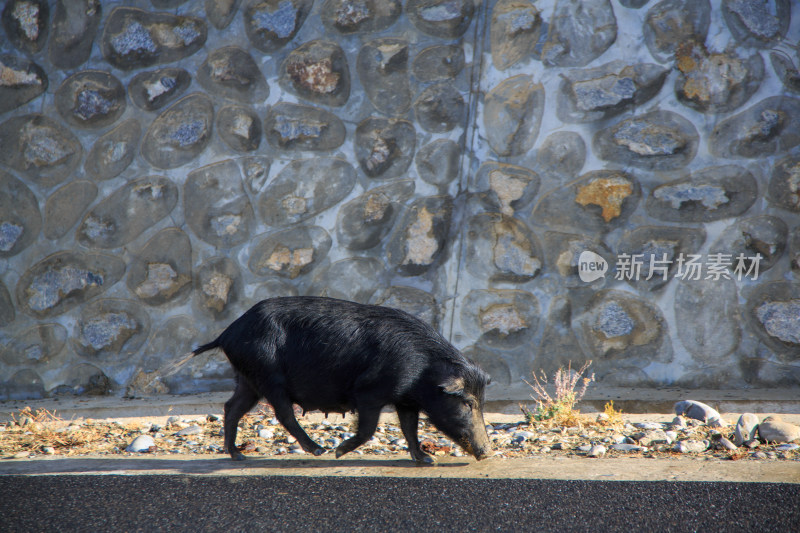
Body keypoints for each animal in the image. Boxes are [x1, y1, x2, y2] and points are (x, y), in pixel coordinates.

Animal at [188, 296, 494, 462]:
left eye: (481, 402)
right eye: (468, 403)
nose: (488, 452)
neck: (423, 369)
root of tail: (227, 333)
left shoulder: (406, 400)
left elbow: (410, 428)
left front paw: (426, 460)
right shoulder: (369, 391)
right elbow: (369, 428)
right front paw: (339, 452)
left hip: (248, 380)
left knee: (231, 408)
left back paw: (238, 455)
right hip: (268, 377)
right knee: (284, 415)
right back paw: (320, 450)